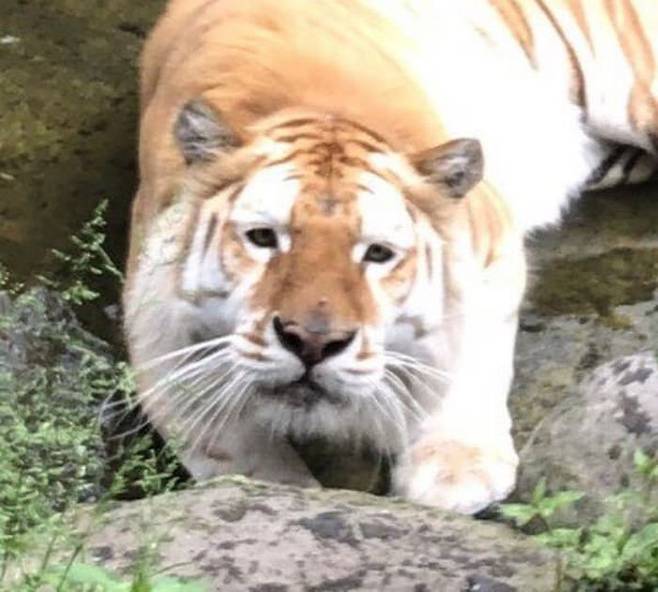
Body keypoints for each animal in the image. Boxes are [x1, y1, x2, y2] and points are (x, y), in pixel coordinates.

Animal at [123, 0, 658, 514]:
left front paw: (455, 471)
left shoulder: (487, 247)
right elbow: (224, 444)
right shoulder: (154, 326)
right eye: (263, 238)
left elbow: (463, 353)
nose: (313, 343)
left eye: (377, 253)